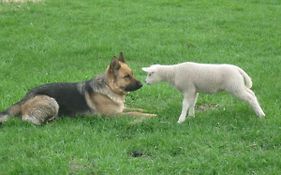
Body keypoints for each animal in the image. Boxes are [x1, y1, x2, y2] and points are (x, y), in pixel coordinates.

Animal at [0, 52, 155, 125]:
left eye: (132, 74)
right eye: (126, 76)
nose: (142, 84)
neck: (108, 87)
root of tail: (24, 98)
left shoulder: (121, 109)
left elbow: (138, 108)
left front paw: (151, 110)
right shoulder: (114, 116)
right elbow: (135, 113)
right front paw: (152, 116)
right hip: (52, 101)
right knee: (31, 121)